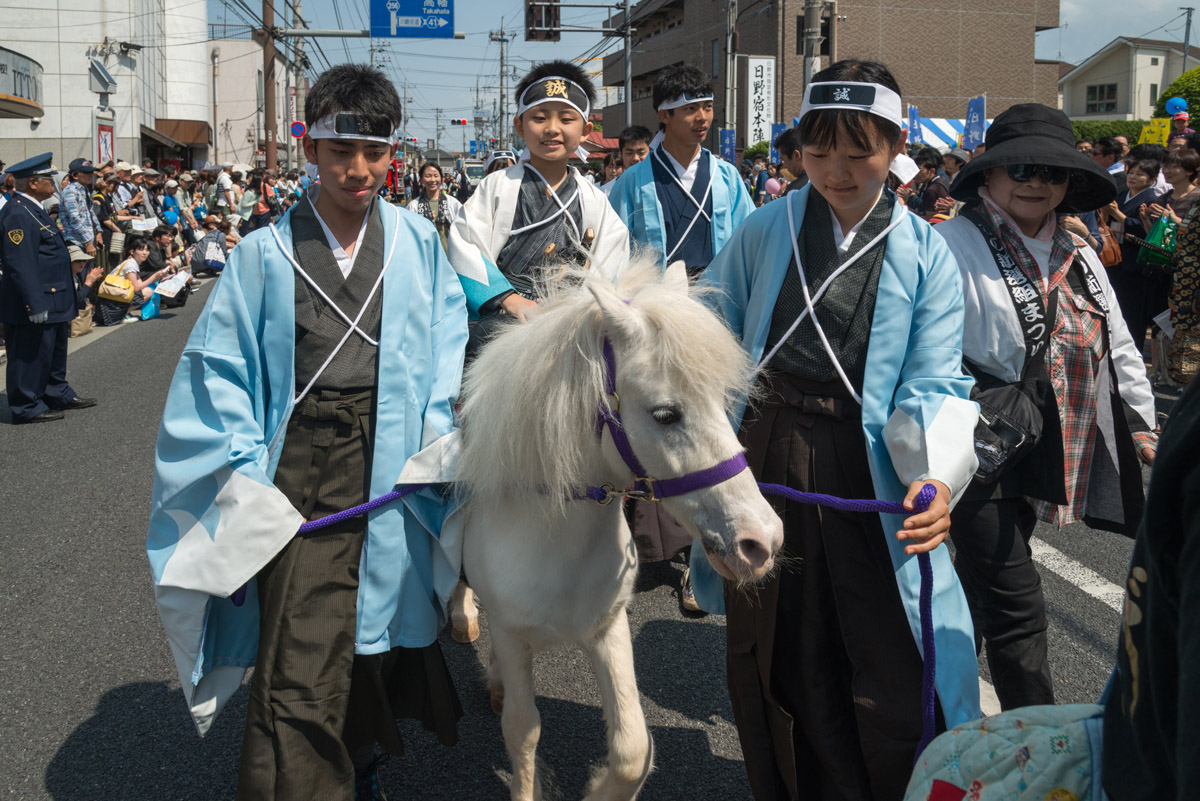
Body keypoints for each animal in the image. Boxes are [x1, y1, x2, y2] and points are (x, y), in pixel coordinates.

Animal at [453, 257, 782, 801]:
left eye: (721, 400)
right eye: (665, 414)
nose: (763, 541)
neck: (556, 544)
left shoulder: (607, 627)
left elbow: (632, 747)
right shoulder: (511, 631)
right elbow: (523, 730)